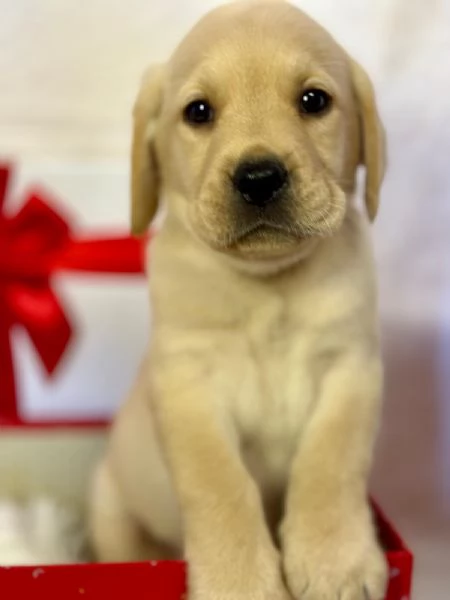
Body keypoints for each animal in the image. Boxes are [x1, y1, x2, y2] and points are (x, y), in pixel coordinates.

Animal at [90, 1, 386, 600]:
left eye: (314, 100)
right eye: (199, 111)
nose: (259, 177)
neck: (268, 286)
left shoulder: (352, 368)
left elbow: (332, 462)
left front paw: (334, 559)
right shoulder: (186, 386)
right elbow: (218, 483)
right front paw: (240, 579)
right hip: (110, 504)